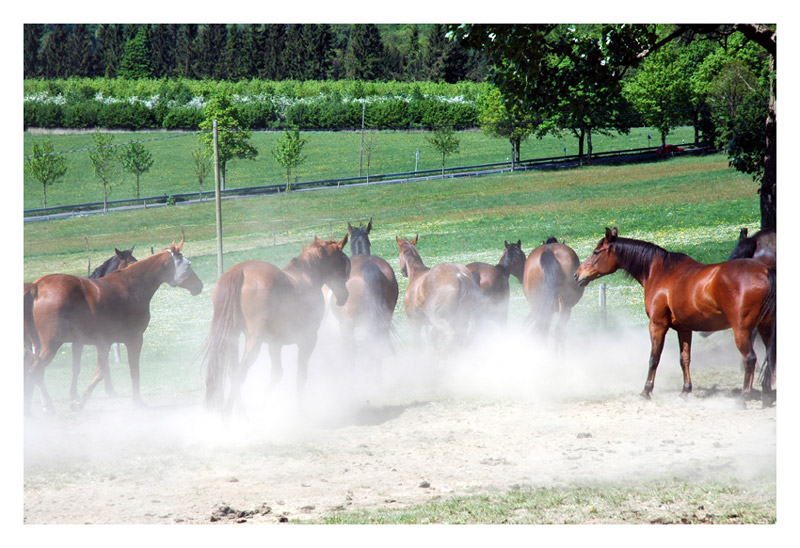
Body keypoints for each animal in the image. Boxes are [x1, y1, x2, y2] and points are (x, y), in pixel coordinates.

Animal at [24, 235, 203, 416]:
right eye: (188, 265)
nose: (199, 285)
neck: (132, 286)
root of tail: (36, 286)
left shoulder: (100, 343)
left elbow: (94, 371)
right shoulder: (134, 340)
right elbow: (131, 371)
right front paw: (136, 402)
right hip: (51, 345)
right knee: (34, 371)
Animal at [203, 235, 350, 416]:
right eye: (343, 262)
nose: (344, 296)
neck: (307, 277)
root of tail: (240, 270)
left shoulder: (275, 344)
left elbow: (277, 374)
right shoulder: (307, 340)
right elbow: (300, 375)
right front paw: (297, 409)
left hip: (232, 337)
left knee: (232, 372)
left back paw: (241, 413)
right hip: (253, 342)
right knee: (240, 373)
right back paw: (227, 416)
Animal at [576, 225, 776, 404]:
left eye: (596, 252)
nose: (577, 275)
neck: (660, 271)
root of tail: (765, 271)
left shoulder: (657, 325)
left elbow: (654, 358)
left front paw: (646, 391)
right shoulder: (684, 329)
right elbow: (684, 359)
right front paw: (685, 391)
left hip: (742, 330)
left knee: (750, 359)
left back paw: (743, 398)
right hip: (765, 327)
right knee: (770, 356)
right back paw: (767, 394)